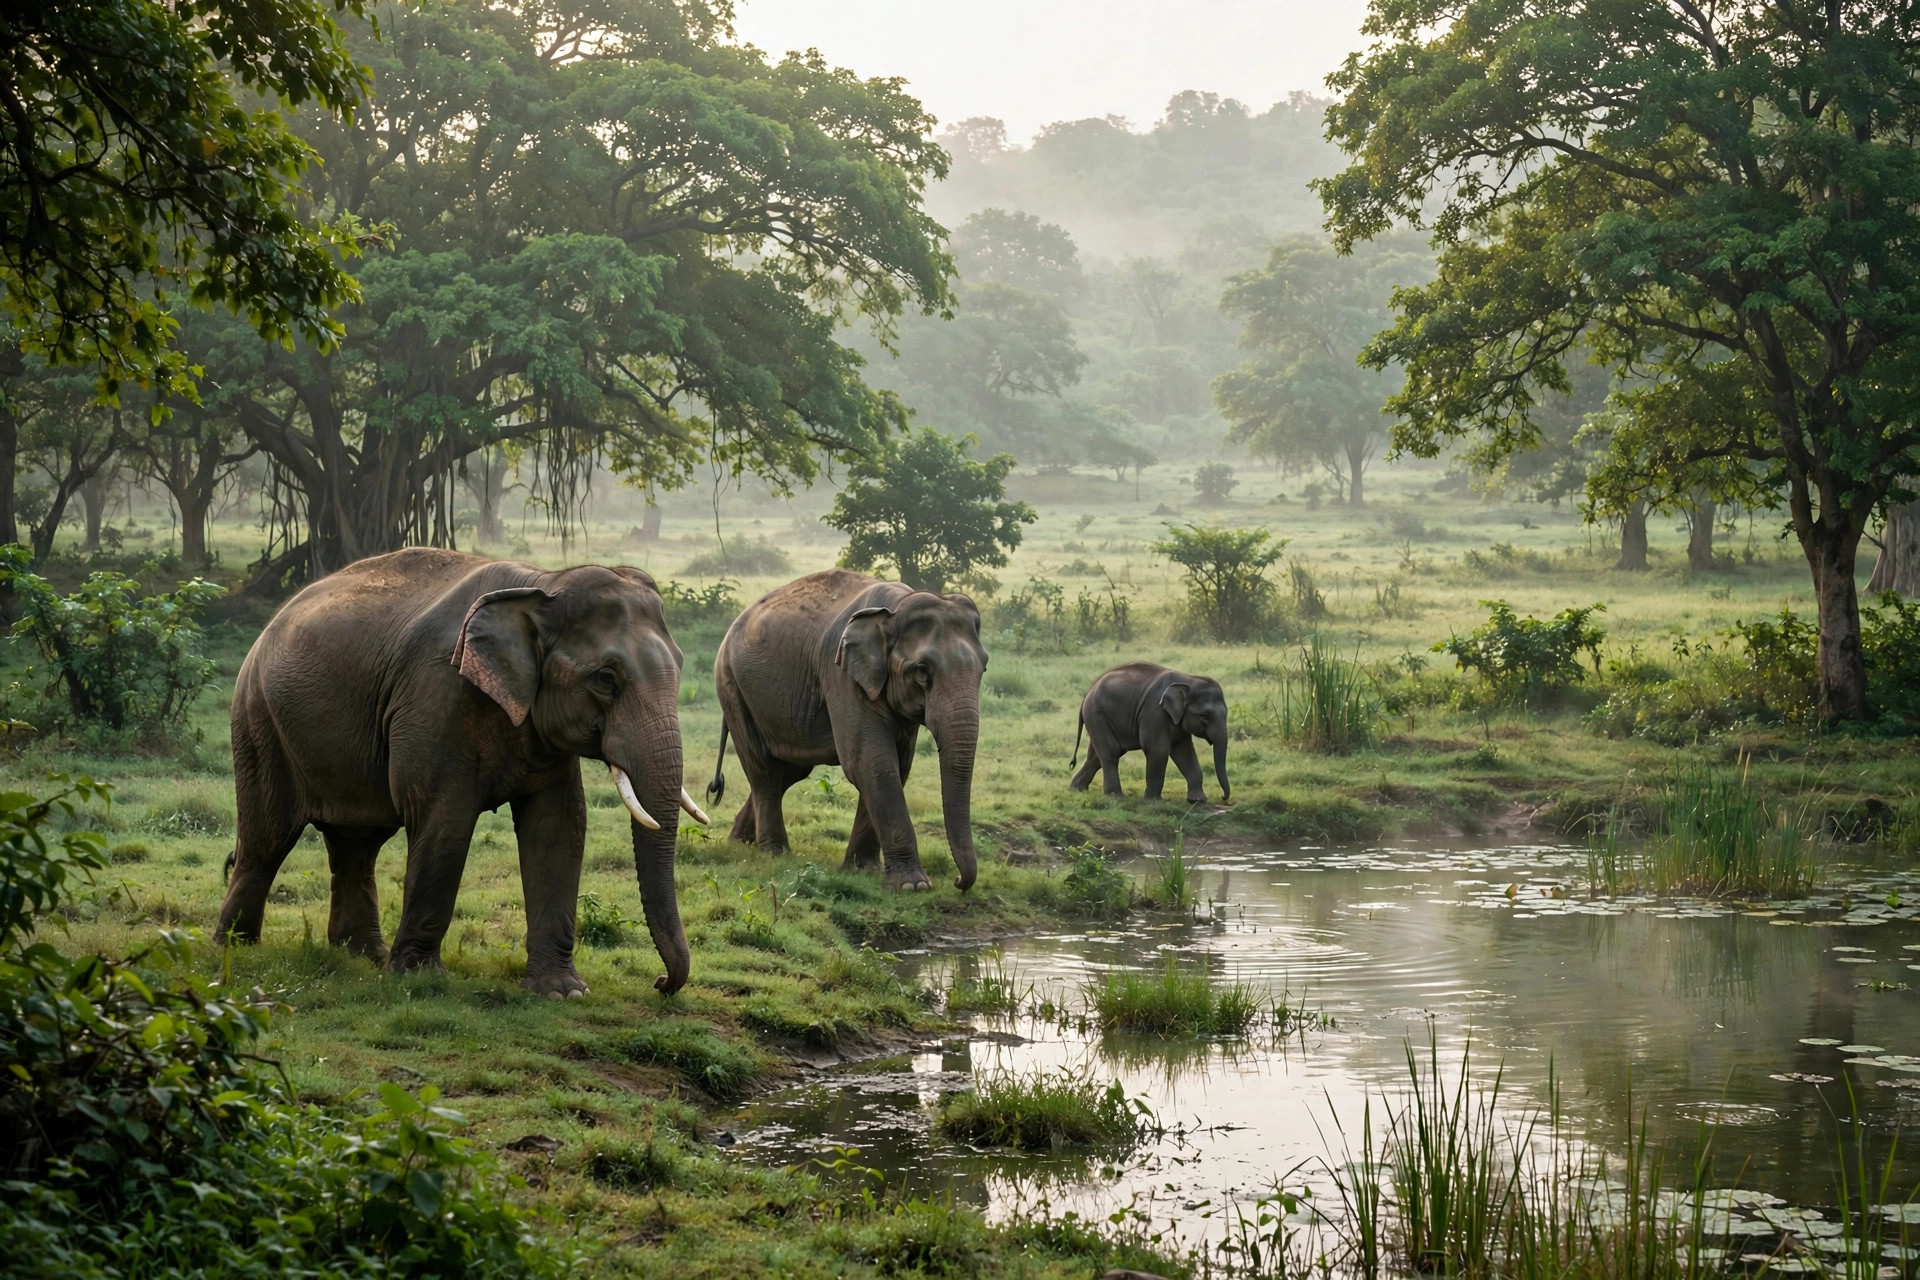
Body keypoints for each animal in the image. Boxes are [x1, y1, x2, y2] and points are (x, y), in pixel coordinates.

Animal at [213, 548, 707, 997]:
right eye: (606, 679)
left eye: (682, 664)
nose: (661, 983)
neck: (543, 583)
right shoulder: (434, 697)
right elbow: (444, 818)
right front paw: (419, 980)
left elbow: (559, 825)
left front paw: (562, 992)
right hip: (258, 723)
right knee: (267, 839)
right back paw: (236, 946)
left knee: (358, 843)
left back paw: (362, 955)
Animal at [707, 570, 986, 891]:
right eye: (921, 671)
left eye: (984, 668)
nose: (957, 880)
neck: (897, 607)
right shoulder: (841, 674)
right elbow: (871, 763)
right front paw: (913, 886)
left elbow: (895, 766)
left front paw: (861, 871)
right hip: (731, 686)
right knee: (764, 771)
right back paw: (775, 854)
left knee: (788, 771)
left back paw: (738, 844)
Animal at [1069, 663, 1231, 803]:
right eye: (1205, 716)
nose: (1223, 797)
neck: (1188, 679)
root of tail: (1087, 693)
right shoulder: (1155, 712)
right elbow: (1158, 749)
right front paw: (1154, 801)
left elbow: (1184, 752)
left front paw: (1197, 801)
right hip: (1096, 713)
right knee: (1112, 752)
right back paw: (1116, 797)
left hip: (1098, 718)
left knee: (1095, 757)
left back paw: (1077, 789)